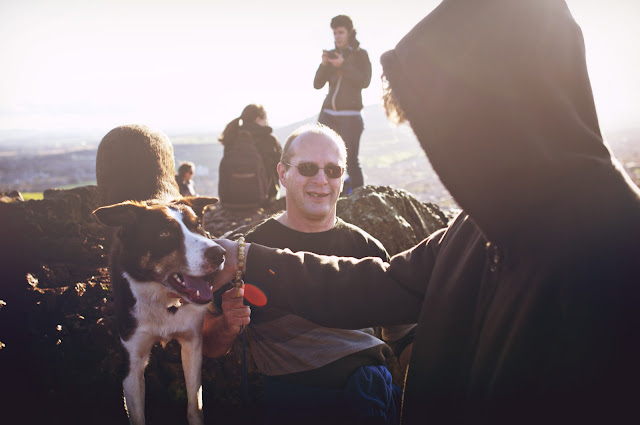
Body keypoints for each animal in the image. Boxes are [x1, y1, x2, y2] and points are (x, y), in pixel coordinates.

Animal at [92, 125, 225, 424]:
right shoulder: (132, 356)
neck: (163, 299)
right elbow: (137, 413)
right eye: (164, 234)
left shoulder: (192, 341)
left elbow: (194, 404)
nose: (219, 253)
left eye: (199, 226)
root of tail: (131, 125)